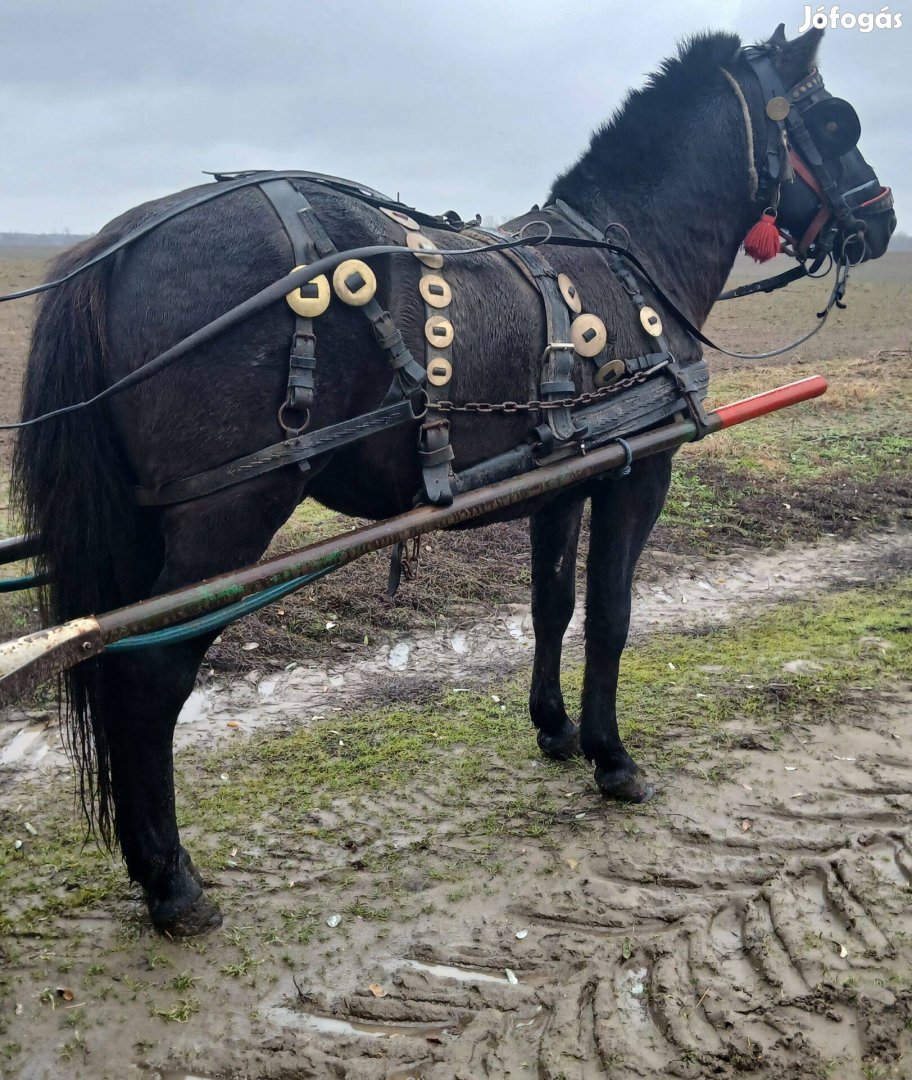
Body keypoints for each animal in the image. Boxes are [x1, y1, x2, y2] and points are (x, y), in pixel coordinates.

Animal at [12, 27, 899, 937]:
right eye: (836, 121)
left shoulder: (561, 481)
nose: (880, 217)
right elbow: (612, 616)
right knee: (150, 674)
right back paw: (172, 881)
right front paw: (613, 757)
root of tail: (114, 250)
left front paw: (556, 728)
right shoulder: (637, 475)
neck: (628, 257)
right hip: (227, 515)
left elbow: (554, 606)